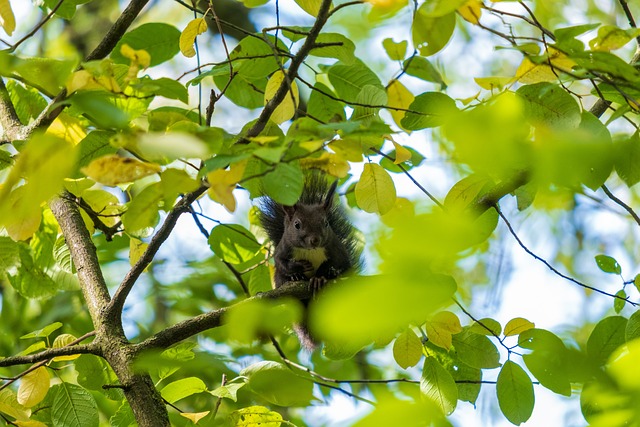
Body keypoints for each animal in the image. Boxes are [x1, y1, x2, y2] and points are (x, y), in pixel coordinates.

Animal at [258, 172, 360, 350]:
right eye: (297, 224)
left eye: (326, 223)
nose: (315, 240)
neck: (310, 250)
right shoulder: (283, 249)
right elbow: (282, 263)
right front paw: (298, 269)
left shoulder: (337, 251)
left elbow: (341, 264)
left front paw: (321, 276)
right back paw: (294, 279)